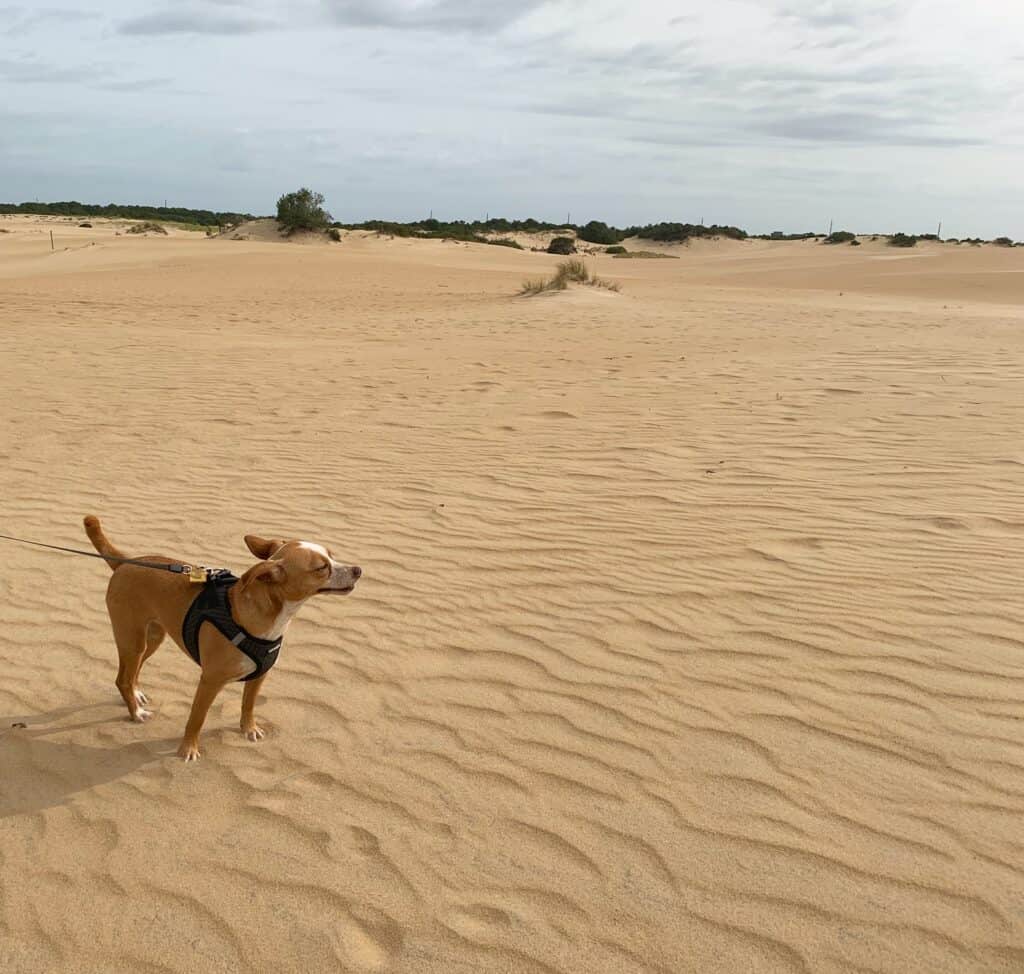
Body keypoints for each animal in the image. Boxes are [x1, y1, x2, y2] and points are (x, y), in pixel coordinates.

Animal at [84, 518, 364, 761]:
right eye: (321, 568)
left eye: (332, 554)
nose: (358, 570)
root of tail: (126, 562)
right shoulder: (210, 681)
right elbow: (196, 718)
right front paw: (188, 749)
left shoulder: (260, 675)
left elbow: (248, 705)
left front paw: (248, 729)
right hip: (133, 640)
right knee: (122, 678)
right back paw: (136, 712)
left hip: (152, 638)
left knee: (133, 672)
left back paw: (136, 695)